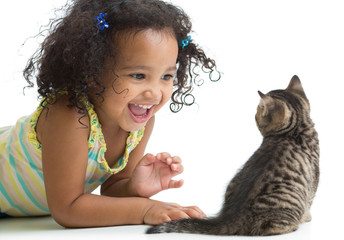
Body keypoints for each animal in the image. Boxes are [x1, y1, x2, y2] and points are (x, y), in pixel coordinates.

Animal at [146, 76, 320, 235]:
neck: (295, 130)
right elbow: (309, 202)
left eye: (257, 112)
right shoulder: (314, 178)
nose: (254, 115)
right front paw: (308, 218)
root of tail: (231, 216)